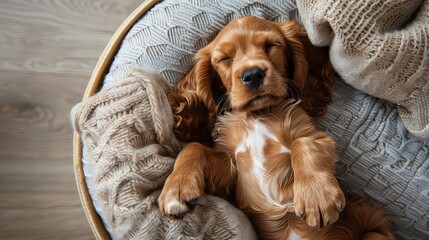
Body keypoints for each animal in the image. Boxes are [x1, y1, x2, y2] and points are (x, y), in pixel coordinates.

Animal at [157, 15, 392, 239]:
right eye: (225, 58)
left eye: (270, 45)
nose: (252, 75)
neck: (259, 115)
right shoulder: (231, 173)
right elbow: (194, 147)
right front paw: (175, 189)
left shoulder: (316, 135)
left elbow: (303, 142)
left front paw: (318, 197)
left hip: (375, 231)